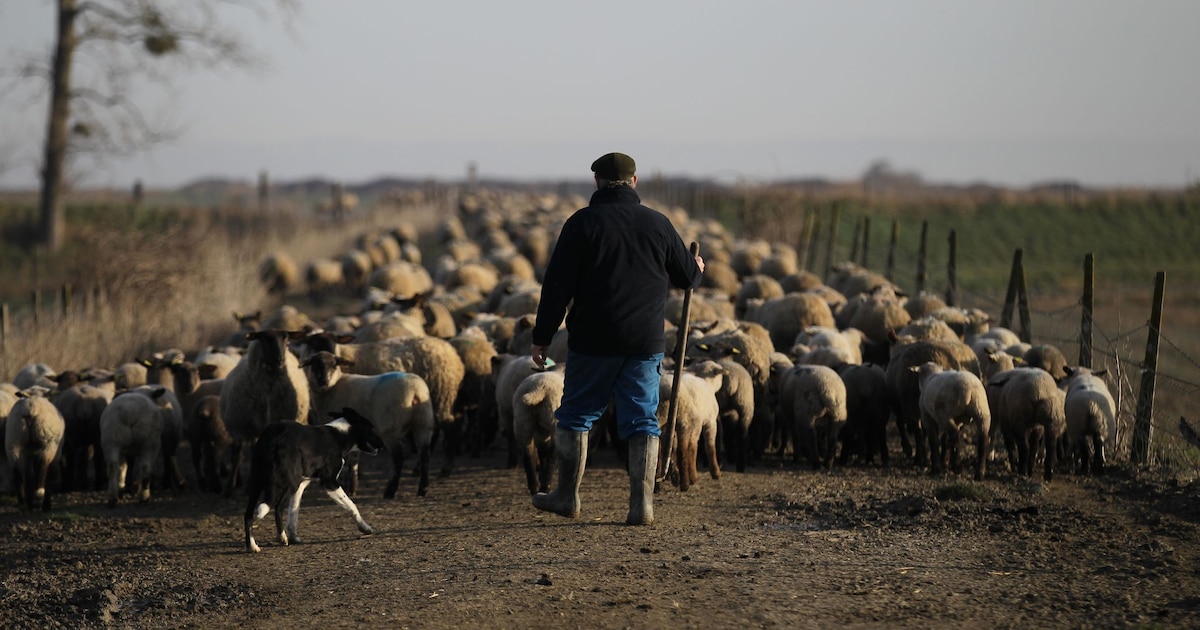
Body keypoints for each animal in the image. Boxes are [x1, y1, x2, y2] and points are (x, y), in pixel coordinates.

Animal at [220, 326, 312, 494]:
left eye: (286, 338)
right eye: (264, 338)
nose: (279, 360)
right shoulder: (240, 427)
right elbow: (237, 457)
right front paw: (229, 489)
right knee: (243, 454)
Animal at [246, 408, 386, 549]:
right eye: (371, 428)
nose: (383, 444)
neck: (339, 436)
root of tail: (272, 437)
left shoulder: (301, 485)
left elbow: (294, 511)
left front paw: (293, 536)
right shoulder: (329, 481)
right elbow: (352, 505)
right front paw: (364, 527)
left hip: (256, 482)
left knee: (248, 514)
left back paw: (252, 546)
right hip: (290, 483)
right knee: (278, 508)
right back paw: (281, 537)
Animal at [300, 348, 436, 496]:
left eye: (334, 365)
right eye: (315, 364)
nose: (323, 381)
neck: (333, 387)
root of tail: (415, 391)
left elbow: (351, 459)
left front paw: (350, 486)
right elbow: (355, 459)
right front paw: (352, 485)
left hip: (390, 428)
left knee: (399, 457)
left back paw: (390, 490)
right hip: (424, 423)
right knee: (425, 455)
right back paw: (423, 488)